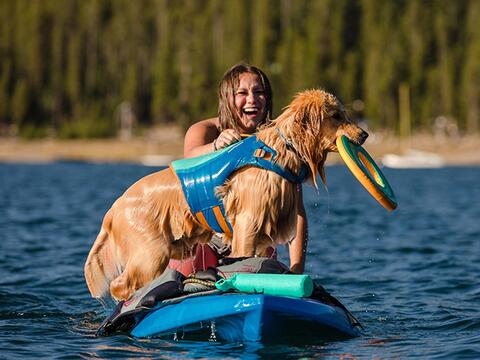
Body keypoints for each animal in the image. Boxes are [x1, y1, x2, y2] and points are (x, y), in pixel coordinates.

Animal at [84, 90, 368, 300]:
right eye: (336, 115)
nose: (364, 134)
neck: (280, 148)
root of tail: (113, 209)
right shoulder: (247, 223)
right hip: (151, 253)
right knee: (120, 285)